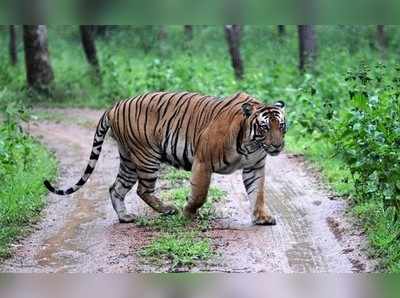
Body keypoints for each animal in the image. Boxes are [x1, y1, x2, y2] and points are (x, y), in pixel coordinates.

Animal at [43, 92, 286, 225]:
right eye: (265, 127)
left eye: (281, 126)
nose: (277, 145)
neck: (251, 143)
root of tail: (114, 106)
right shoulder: (203, 161)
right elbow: (200, 194)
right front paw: (188, 213)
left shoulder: (254, 167)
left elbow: (258, 193)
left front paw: (262, 217)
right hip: (147, 156)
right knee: (142, 190)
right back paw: (168, 209)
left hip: (128, 159)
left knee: (116, 188)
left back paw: (125, 217)